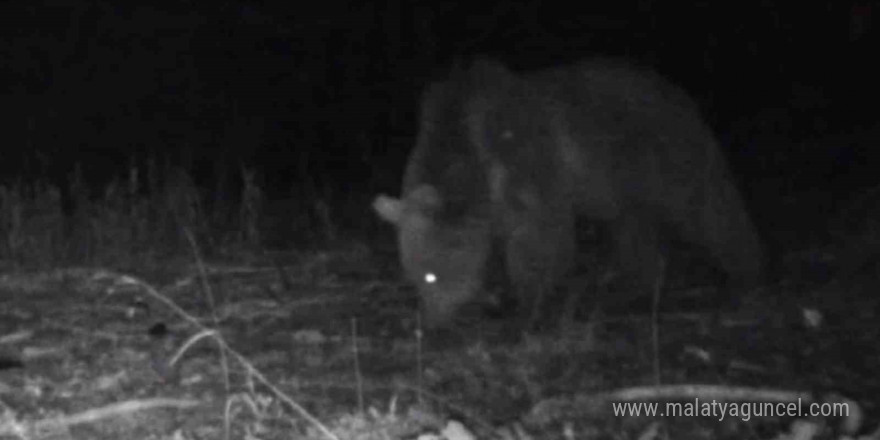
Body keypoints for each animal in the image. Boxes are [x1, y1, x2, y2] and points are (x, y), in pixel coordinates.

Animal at [372, 57, 764, 330]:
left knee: (708, 210)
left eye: (431, 275)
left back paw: (745, 279)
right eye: (412, 275)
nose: (432, 326)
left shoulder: (528, 166)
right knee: (635, 230)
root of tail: (677, 92)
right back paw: (631, 291)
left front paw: (529, 309)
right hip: (622, 188)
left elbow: (540, 242)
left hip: (664, 156)